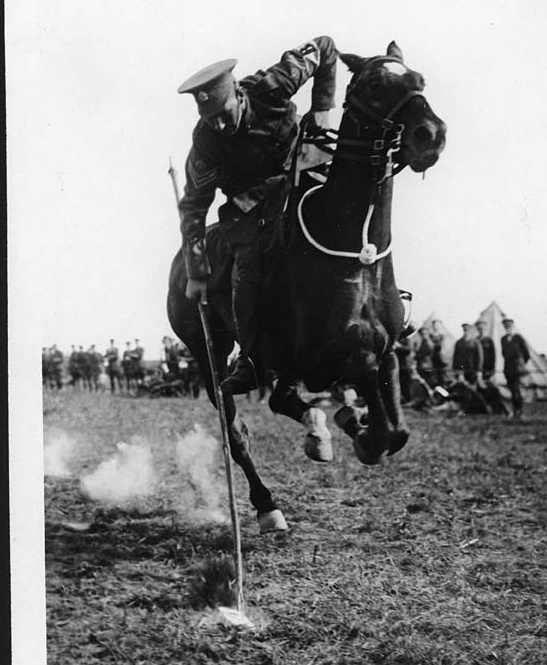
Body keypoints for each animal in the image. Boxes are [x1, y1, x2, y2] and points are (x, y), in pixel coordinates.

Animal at [169, 41, 448, 532]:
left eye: (419, 80)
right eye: (374, 85)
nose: (430, 135)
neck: (355, 249)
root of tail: (181, 265)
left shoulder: (388, 351)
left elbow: (396, 427)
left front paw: (355, 423)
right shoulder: (329, 358)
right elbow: (362, 411)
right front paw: (353, 432)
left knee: (278, 399)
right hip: (208, 353)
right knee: (238, 431)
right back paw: (267, 505)